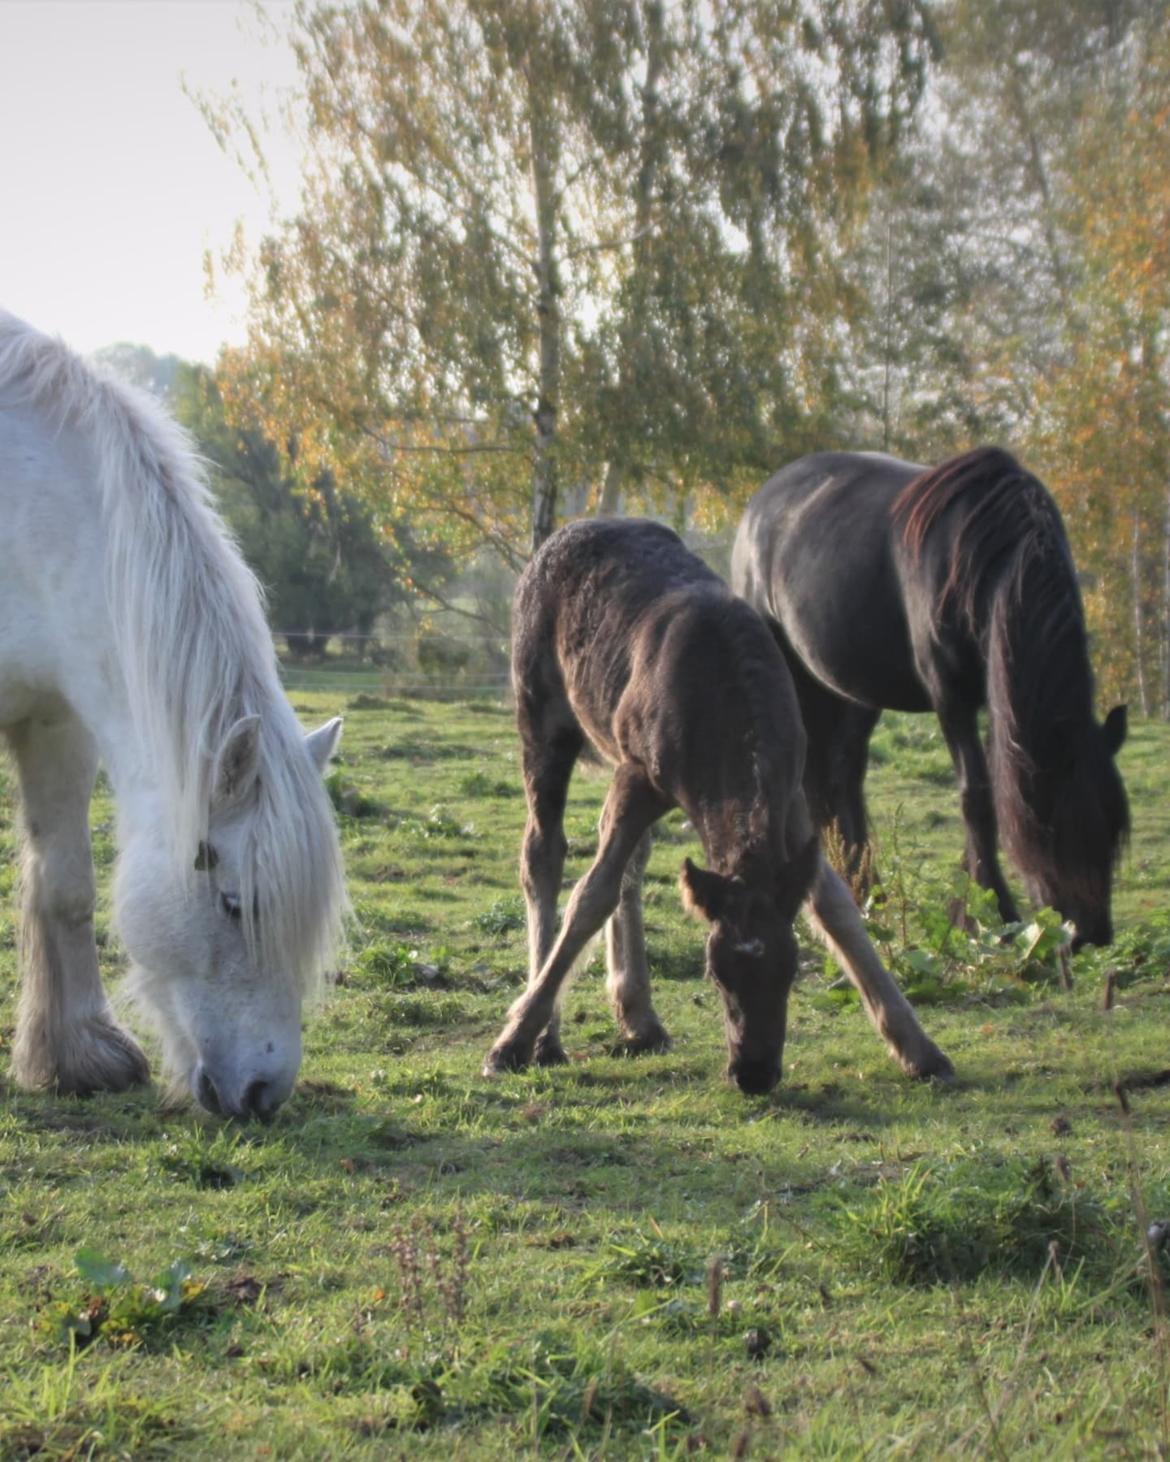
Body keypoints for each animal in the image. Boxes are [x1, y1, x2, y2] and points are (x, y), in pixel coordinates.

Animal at [0, 314, 347, 1119]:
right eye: (232, 903)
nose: (263, 1093)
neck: (26, 515)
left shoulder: (57, 720)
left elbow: (66, 885)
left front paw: (76, 1056)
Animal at [483, 517, 952, 1092]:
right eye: (715, 972)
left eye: (791, 969)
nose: (754, 1072)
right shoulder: (638, 776)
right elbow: (590, 896)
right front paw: (514, 1040)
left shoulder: (792, 799)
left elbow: (836, 905)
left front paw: (918, 1046)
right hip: (542, 720)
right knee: (543, 853)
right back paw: (548, 1034)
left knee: (629, 861)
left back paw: (639, 1016)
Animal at [732, 447, 1129, 949]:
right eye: (1054, 827)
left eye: (1113, 828)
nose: (1093, 934)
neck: (984, 556)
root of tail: (759, 505)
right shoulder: (950, 697)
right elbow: (977, 796)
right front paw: (992, 913)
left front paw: (972, 902)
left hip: (855, 692)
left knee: (842, 779)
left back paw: (868, 894)